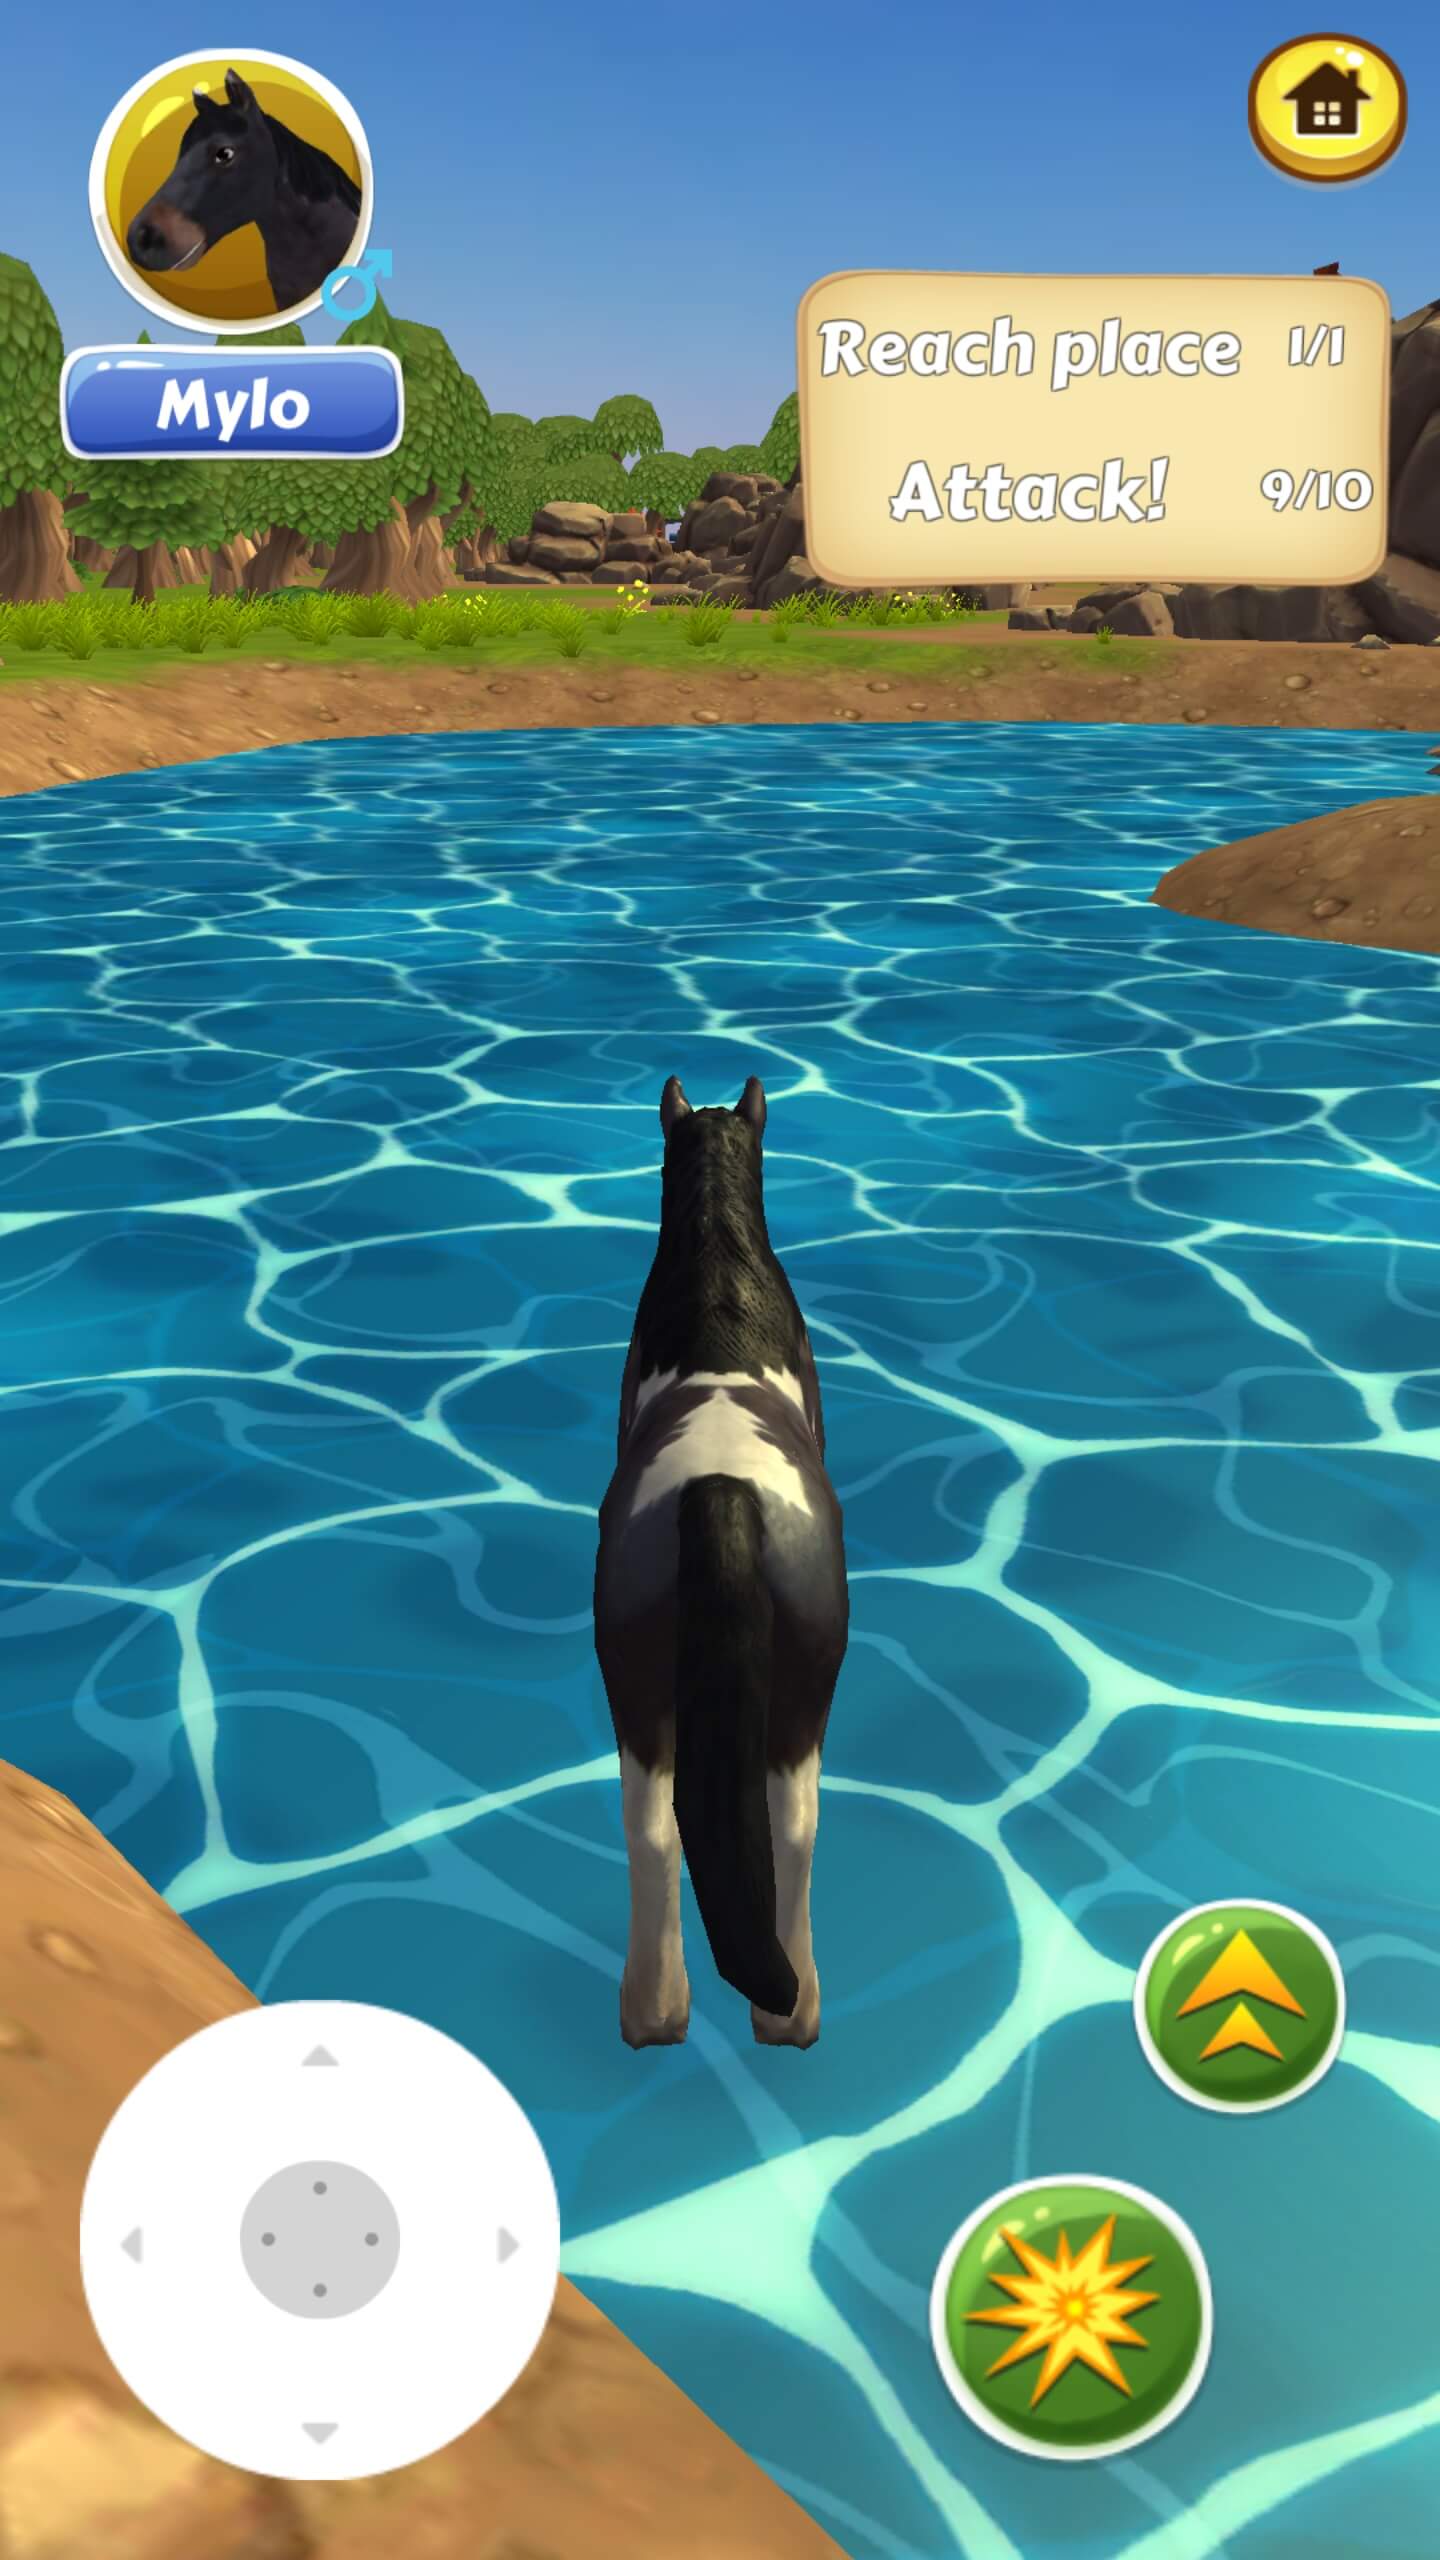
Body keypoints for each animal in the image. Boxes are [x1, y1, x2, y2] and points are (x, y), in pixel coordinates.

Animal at [594, 1077, 849, 2050]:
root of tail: (722, 1492)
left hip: (641, 1678)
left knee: (662, 1824)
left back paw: (667, 2009)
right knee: (787, 1821)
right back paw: (772, 2009)